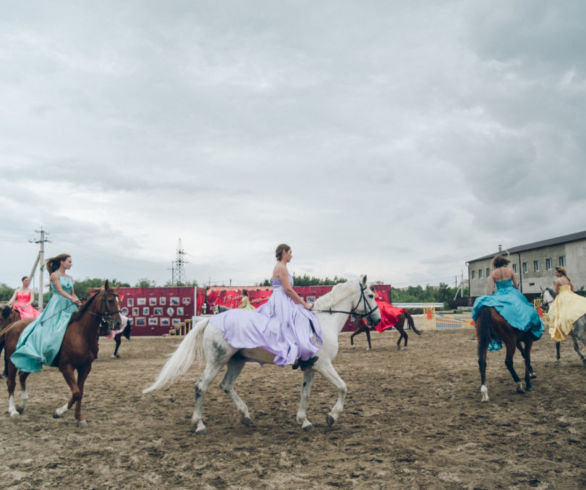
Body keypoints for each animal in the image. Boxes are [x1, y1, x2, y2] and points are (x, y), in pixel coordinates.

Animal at [1, 282, 121, 426]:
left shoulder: (85, 367)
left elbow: (80, 392)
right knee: (11, 383)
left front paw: (79, 418)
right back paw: (13, 410)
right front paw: (58, 412)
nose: (119, 323)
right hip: (12, 361)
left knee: (22, 376)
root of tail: (13, 325)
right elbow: (76, 393)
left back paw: (21, 406)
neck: (81, 333)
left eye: (119, 301)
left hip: (30, 361)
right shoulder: (66, 367)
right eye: (110, 300)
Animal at [141, 276, 378, 432]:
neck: (322, 321)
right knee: (201, 387)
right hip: (217, 361)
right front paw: (331, 416)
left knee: (226, 385)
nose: (376, 320)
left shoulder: (311, 367)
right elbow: (343, 387)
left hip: (236, 362)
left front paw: (304, 420)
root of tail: (211, 320)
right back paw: (199, 424)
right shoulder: (324, 365)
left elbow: (306, 394)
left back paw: (246, 416)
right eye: (371, 295)